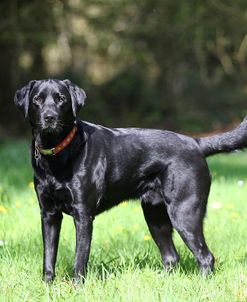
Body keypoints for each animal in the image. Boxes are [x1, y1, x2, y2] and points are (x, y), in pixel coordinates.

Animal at [14, 79, 247, 282]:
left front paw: (76, 287)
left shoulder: (83, 215)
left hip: (185, 213)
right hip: (155, 216)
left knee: (205, 256)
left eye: (61, 98)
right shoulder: (48, 214)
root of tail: (196, 143)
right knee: (171, 257)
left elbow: (80, 259)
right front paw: (47, 286)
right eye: (37, 99)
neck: (57, 153)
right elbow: (48, 256)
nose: (49, 117)